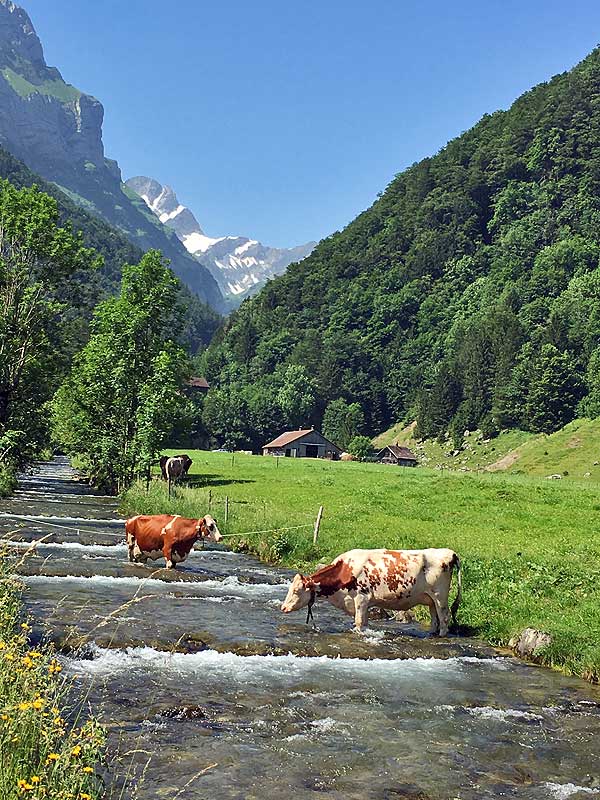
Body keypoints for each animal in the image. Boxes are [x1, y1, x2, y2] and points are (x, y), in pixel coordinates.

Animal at [280, 548, 460, 636]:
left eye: (296, 591)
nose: (283, 608)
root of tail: (450, 553)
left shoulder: (361, 599)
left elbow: (360, 622)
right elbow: (363, 622)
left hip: (440, 596)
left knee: (444, 616)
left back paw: (441, 635)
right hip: (431, 599)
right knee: (434, 618)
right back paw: (431, 633)